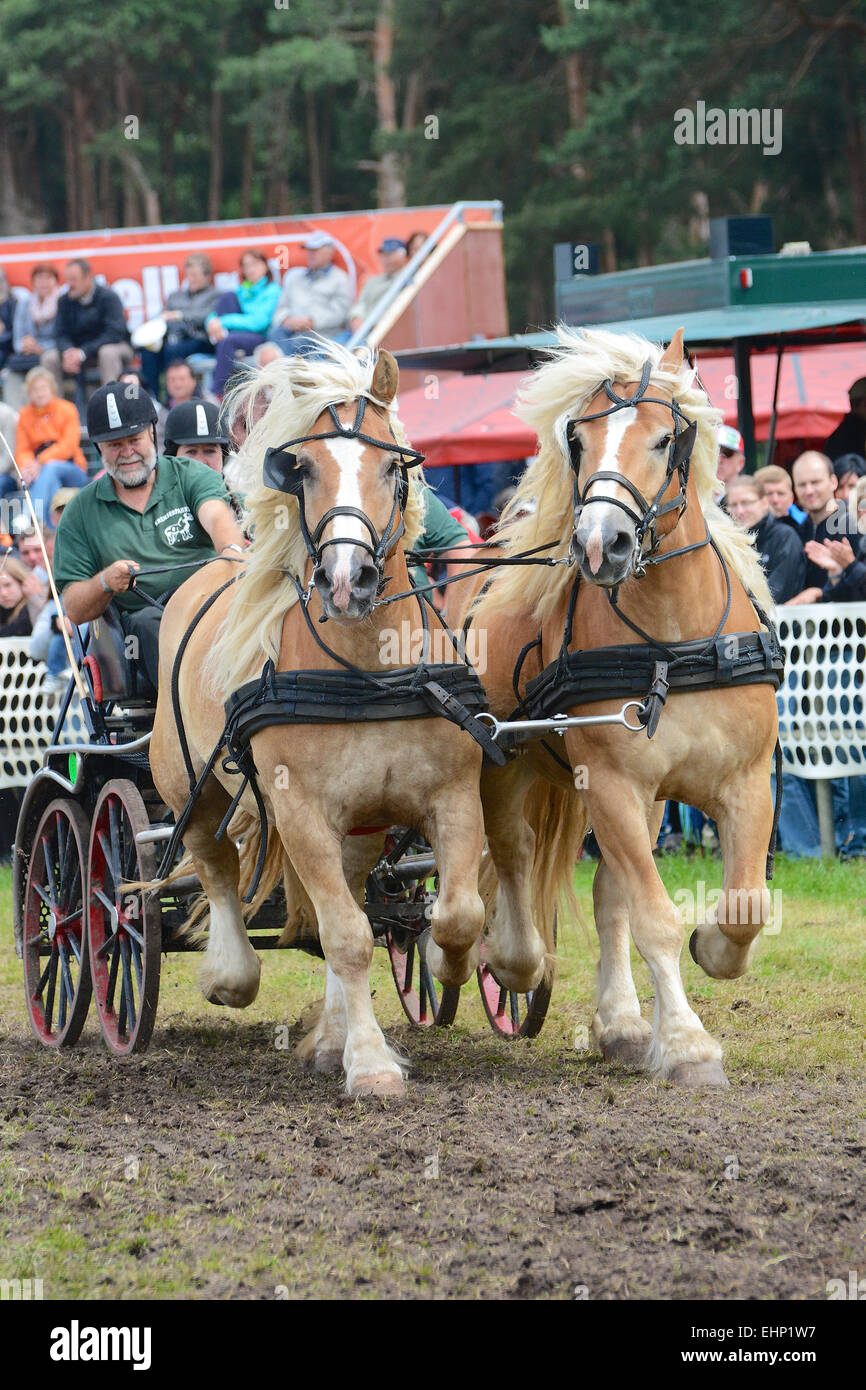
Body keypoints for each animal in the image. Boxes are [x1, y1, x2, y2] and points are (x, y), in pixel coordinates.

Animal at [150, 341, 489, 1089]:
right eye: (302, 469)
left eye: (393, 467)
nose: (346, 580)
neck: (368, 671)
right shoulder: (299, 809)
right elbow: (346, 937)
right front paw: (371, 1066)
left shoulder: (453, 795)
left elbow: (457, 912)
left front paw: (444, 963)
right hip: (189, 787)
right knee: (216, 863)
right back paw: (230, 973)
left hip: (360, 822)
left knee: (351, 892)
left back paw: (332, 1034)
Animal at [461, 325, 778, 1084]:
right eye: (578, 441)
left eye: (664, 439)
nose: (601, 543)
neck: (671, 642)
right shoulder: (610, 782)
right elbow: (655, 915)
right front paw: (689, 1046)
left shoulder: (745, 782)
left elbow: (744, 904)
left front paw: (709, 952)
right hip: (509, 768)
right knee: (513, 858)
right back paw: (510, 958)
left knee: (609, 899)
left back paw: (624, 1024)